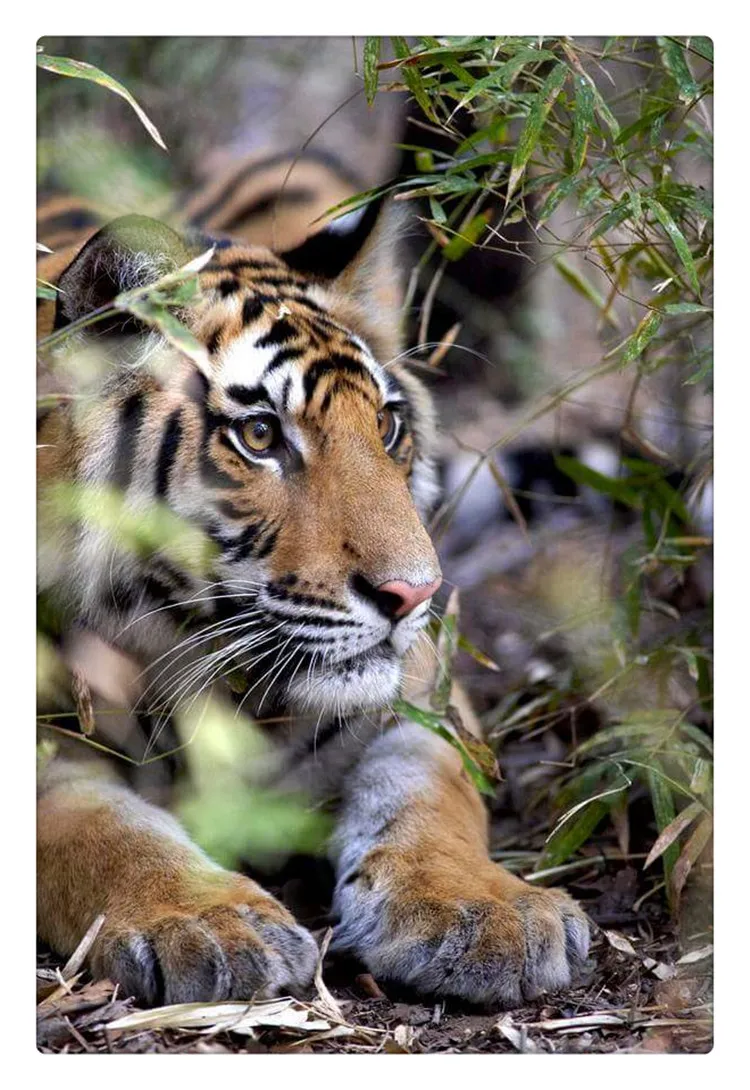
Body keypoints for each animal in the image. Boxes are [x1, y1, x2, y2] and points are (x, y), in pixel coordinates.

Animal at [37, 150, 590, 1009]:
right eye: (262, 436)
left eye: (387, 426)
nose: (415, 594)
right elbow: (103, 830)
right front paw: (207, 921)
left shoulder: (422, 698)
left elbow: (430, 795)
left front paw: (484, 910)